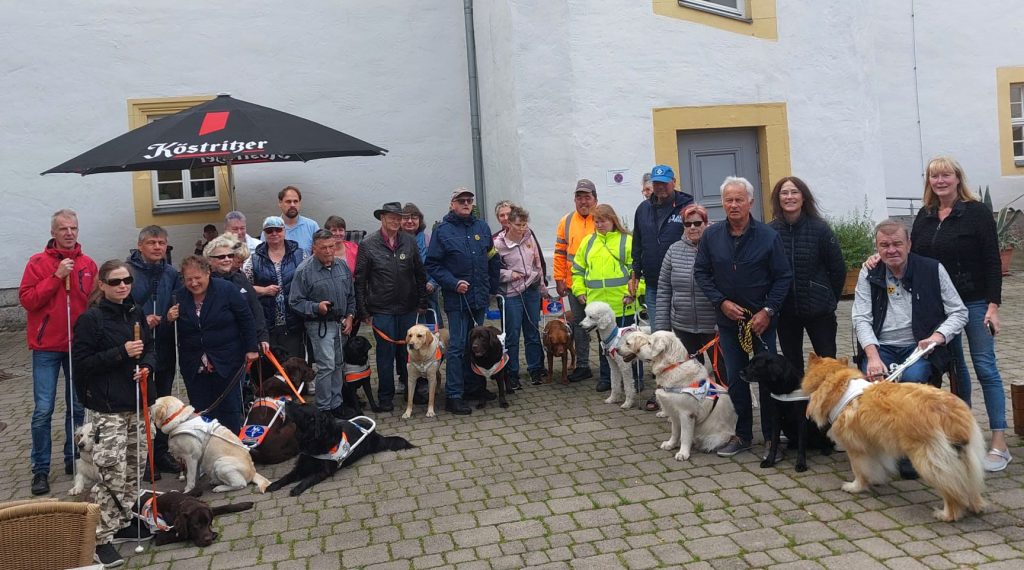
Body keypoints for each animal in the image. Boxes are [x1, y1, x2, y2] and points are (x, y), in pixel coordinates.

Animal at [270, 405, 417, 493]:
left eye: (300, 409)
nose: (286, 401)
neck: (314, 442)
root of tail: (374, 432)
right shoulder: (300, 467)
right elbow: (287, 476)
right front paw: (274, 484)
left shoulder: (324, 471)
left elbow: (308, 478)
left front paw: (296, 488)